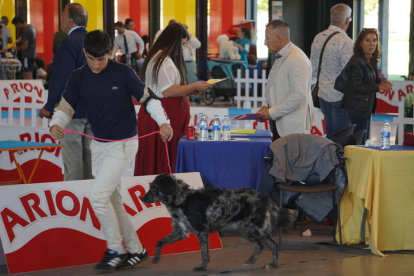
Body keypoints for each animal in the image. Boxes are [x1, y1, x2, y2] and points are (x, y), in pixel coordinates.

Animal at [142, 174, 298, 270]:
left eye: (154, 188)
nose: (142, 198)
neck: (182, 199)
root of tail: (263, 197)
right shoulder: (180, 232)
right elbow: (159, 242)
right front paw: (156, 258)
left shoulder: (201, 232)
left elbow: (204, 254)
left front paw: (202, 268)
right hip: (250, 230)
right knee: (269, 246)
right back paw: (266, 263)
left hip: (250, 229)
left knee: (265, 245)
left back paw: (258, 263)